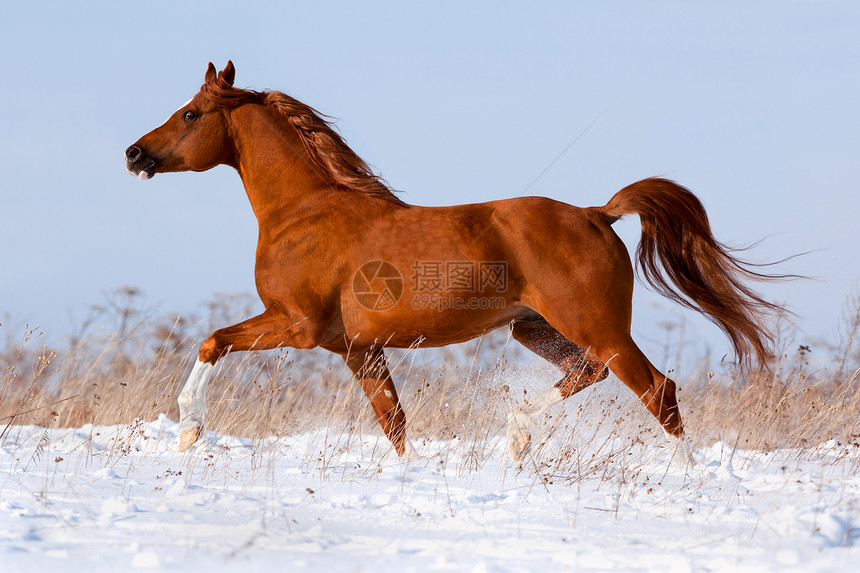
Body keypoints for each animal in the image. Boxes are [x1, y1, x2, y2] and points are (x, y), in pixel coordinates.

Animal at [126, 61, 788, 464]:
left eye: (190, 113)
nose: (134, 154)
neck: (305, 212)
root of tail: (596, 214)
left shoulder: (296, 326)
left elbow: (212, 341)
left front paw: (188, 429)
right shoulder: (355, 348)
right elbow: (394, 425)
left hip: (598, 327)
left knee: (656, 389)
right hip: (534, 328)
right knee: (590, 373)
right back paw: (518, 435)